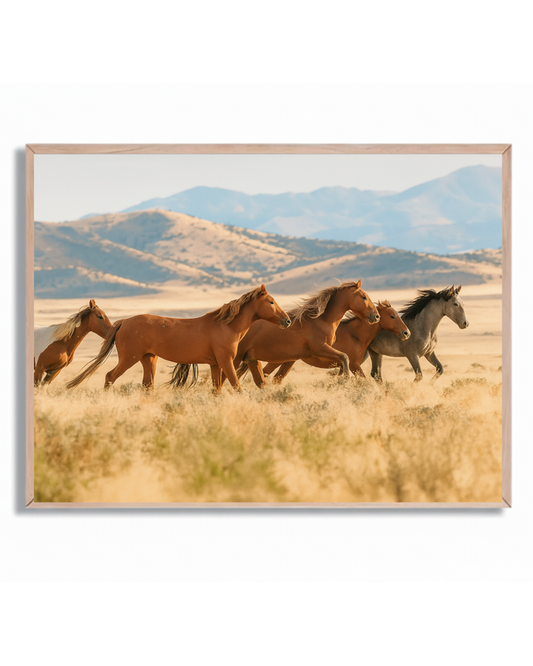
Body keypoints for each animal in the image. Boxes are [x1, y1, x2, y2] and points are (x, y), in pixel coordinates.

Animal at [66, 284, 290, 393]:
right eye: (271, 302)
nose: (287, 321)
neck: (226, 325)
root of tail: (124, 322)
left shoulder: (215, 364)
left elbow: (217, 389)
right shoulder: (226, 361)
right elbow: (236, 386)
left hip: (148, 359)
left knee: (148, 385)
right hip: (129, 359)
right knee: (110, 377)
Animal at [229, 280, 380, 389]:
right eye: (364, 297)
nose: (376, 316)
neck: (321, 320)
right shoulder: (320, 350)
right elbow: (345, 357)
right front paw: (345, 378)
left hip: (252, 358)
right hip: (237, 357)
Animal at [261, 300, 410, 383]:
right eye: (392, 316)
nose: (406, 333)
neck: (355, 334)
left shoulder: (344, 366)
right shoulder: (354, 365)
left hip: (286, 361)